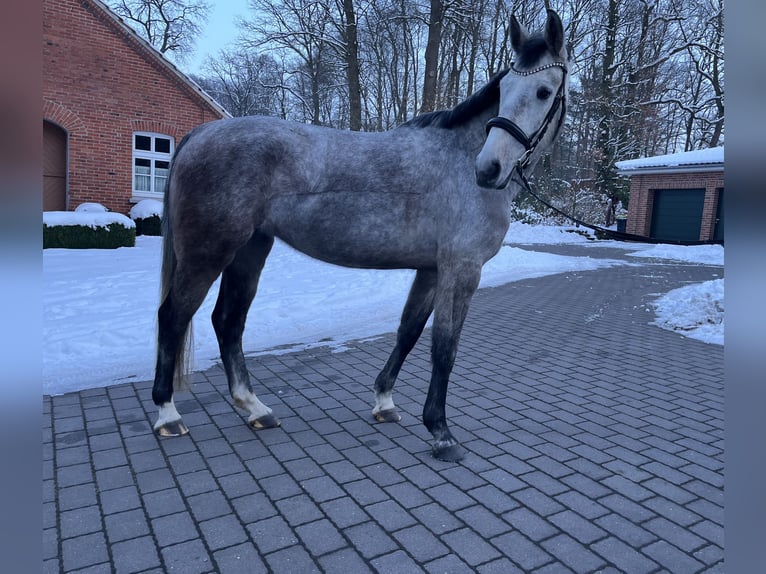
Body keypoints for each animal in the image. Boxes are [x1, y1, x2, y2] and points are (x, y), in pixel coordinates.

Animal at [152, 9, 570, 462]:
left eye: (544, 91)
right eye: (505, 88)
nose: (489, 169)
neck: (458, 159)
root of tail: (200, 134)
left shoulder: (431, 269)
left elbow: (409, 332)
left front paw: (384, 401)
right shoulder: (461, 269)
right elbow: (444, 346)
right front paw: (441, 432)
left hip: (249, 252)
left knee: (228, 322)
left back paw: (255, 409)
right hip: (208, 253)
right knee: (174, 316)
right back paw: (167, 414)